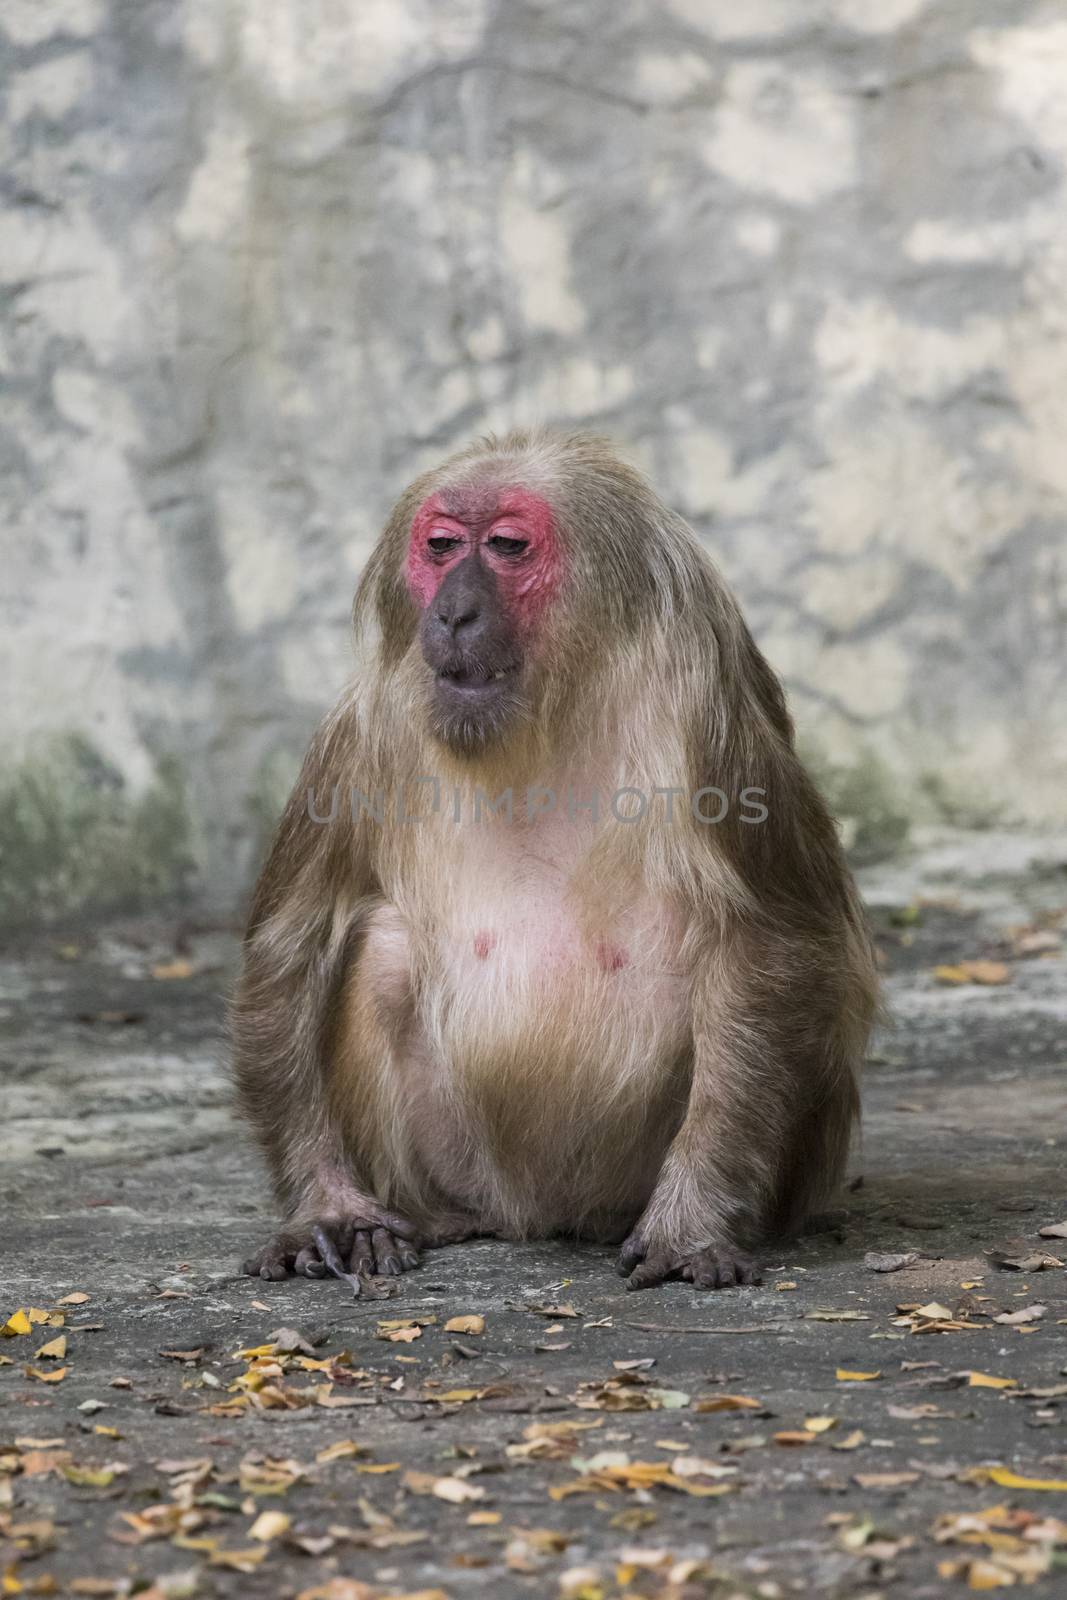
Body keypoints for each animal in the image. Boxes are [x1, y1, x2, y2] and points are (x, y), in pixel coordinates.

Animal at [233, 432, 876, 1292]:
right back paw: (441, 1218)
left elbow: (768, 944)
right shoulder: (363, 727)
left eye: (507, 548)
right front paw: (328, 1207)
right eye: (442, 548)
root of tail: (532, 1216)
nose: (453, 612)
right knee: (385, 949)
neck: (554, 699)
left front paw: (691, 1218)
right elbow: (290, 947)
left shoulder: (703, 718)